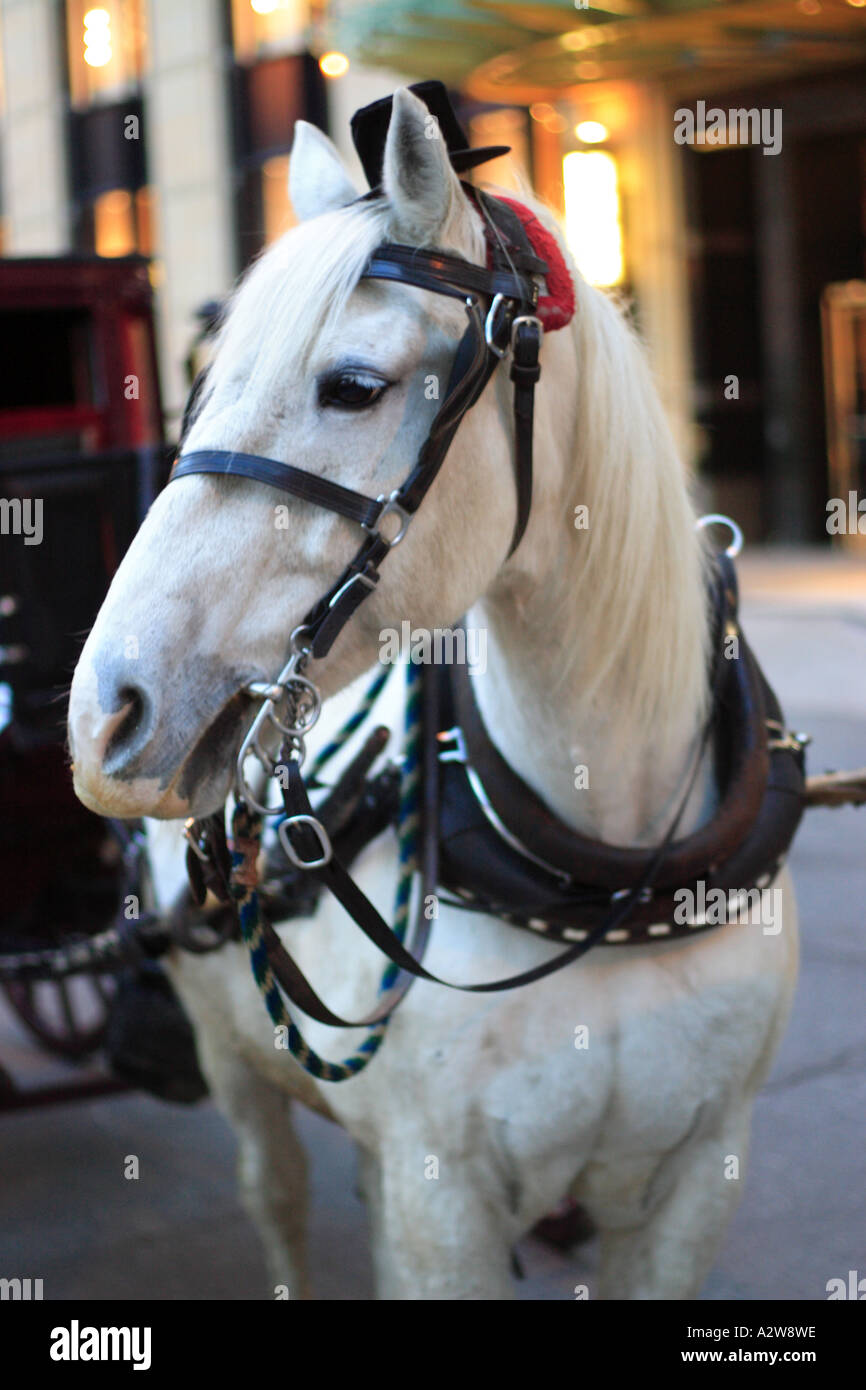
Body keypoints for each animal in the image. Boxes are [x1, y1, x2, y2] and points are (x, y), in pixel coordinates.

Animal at [67, 88, 798, 1300]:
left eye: (352, 387)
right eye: (200, 389)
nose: (105, 712)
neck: (605, 871)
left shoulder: (699, 1177)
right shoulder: (440, 1195)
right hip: (235, 1059)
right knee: (274, 1192)